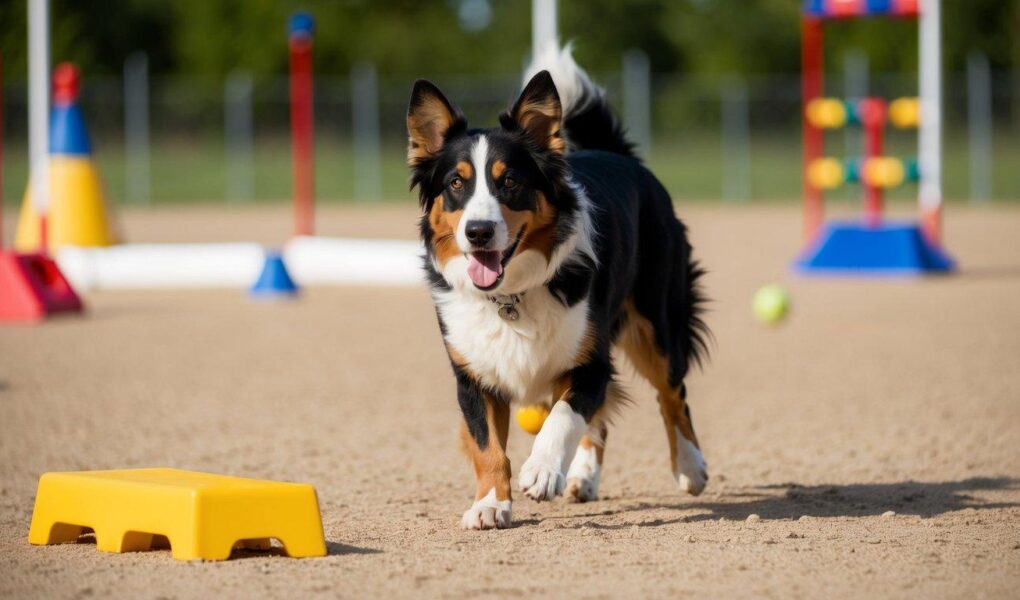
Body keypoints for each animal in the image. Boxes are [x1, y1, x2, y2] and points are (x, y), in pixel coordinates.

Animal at [405, 45, 709, 530]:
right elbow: (489, 447)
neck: (511, 296)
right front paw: (490, 503)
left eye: (510, 181)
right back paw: (583, 477)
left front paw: (543, 470)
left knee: (671, 394)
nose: (478, 232)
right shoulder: (473, 377)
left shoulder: (591, 363)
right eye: (456, 183)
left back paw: (690, 467)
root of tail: (616, 154)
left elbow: (565, 417)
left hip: (658, 324)